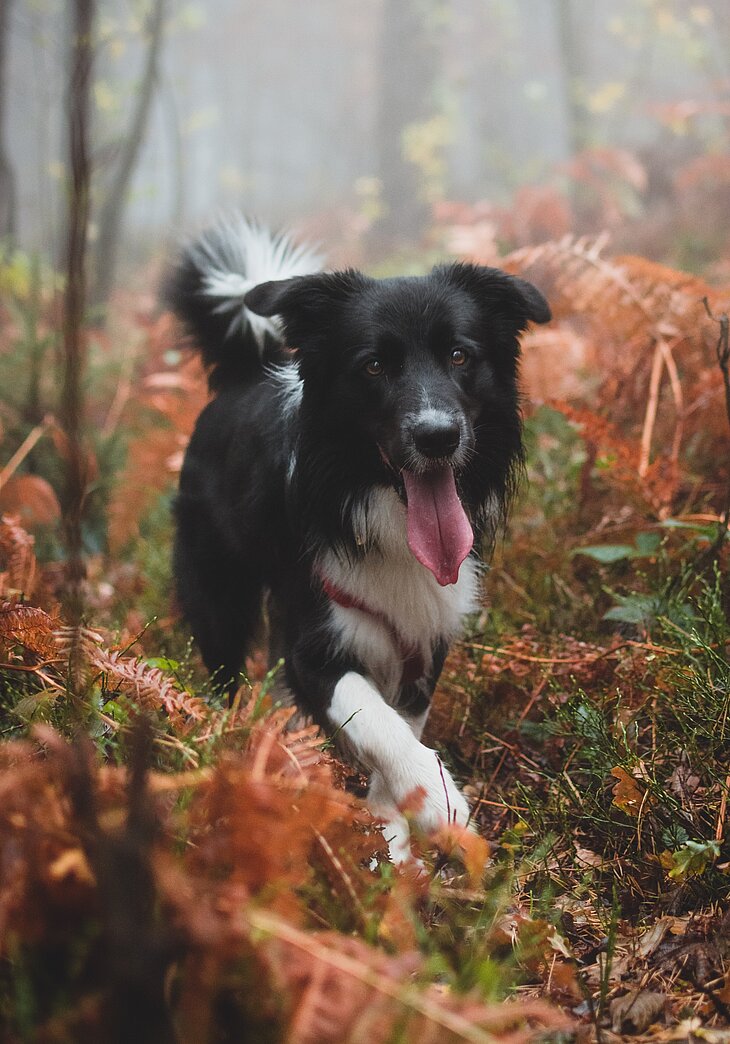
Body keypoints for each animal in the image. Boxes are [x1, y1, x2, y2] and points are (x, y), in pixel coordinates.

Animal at [163, 216, 547, 860]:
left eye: (460, 355)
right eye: (373, 366)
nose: (438, 436)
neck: (379, 510)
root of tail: (243, 375)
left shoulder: (425, 636)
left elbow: (399, 723)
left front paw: (392, 833)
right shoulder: (315, 644)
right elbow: (374, 718)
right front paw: (435, 797)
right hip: (219, 594)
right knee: (224, 672)